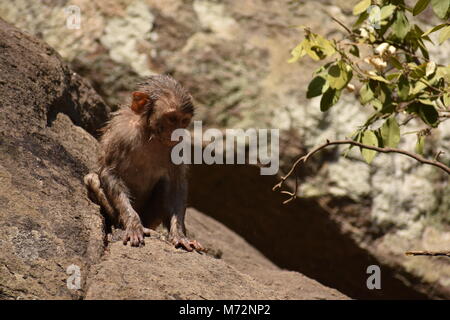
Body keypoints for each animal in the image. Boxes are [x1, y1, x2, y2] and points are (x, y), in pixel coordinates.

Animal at [84, 75, 204, 252]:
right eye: (172, 118)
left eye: (183, 121)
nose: (177, 133)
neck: (150, 133)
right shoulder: (121, 134)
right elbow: (109, 172)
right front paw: (133, 224)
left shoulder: (179, 146)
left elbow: (176, 183)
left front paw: (179, 234)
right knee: (92, 178)